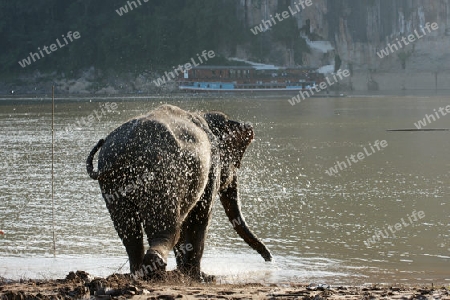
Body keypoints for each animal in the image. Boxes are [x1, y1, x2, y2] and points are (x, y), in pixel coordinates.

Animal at [86, 105, 272, 282]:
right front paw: (200, 278)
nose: (270, 259)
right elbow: (200, 217)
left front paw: (186, 274)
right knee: (168, 227)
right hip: (161, 175)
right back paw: (156, 270)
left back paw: (138, 274)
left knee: (130, 232)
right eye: (235, 164)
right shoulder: (212, 167)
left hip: (112, 185)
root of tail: (126, 148)